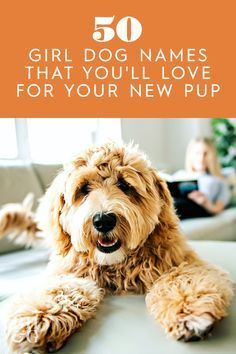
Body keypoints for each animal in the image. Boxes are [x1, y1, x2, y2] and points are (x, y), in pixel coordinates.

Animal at [4, 142, 233, 352]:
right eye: (84, 189)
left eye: (124, 185)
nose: (103, 221)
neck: (117, 265)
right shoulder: (67, 272)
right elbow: (59, 289)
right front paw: (38, 320)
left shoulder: (181, 261)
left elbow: (182, 278)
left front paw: (190, 310)